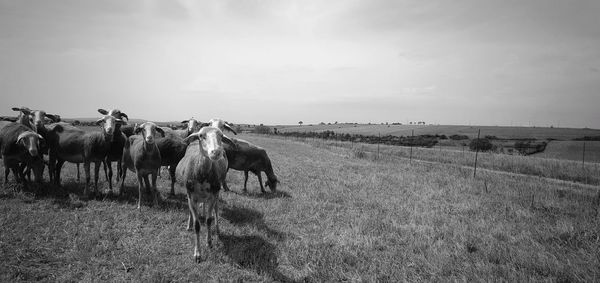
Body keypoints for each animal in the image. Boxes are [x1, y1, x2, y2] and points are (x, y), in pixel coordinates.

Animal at [175, 126, 233, 264]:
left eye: (221, 136)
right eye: (201, 136)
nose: (216, 152)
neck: (202, 175)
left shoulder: (212, 196)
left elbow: (208, 220)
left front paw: (209, 242)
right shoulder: (191, 197)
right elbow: (197, 225)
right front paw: (197, 254)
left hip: (215, 194)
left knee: (215, 209)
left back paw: (217, 229)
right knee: (193, 210)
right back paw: (189, 224)